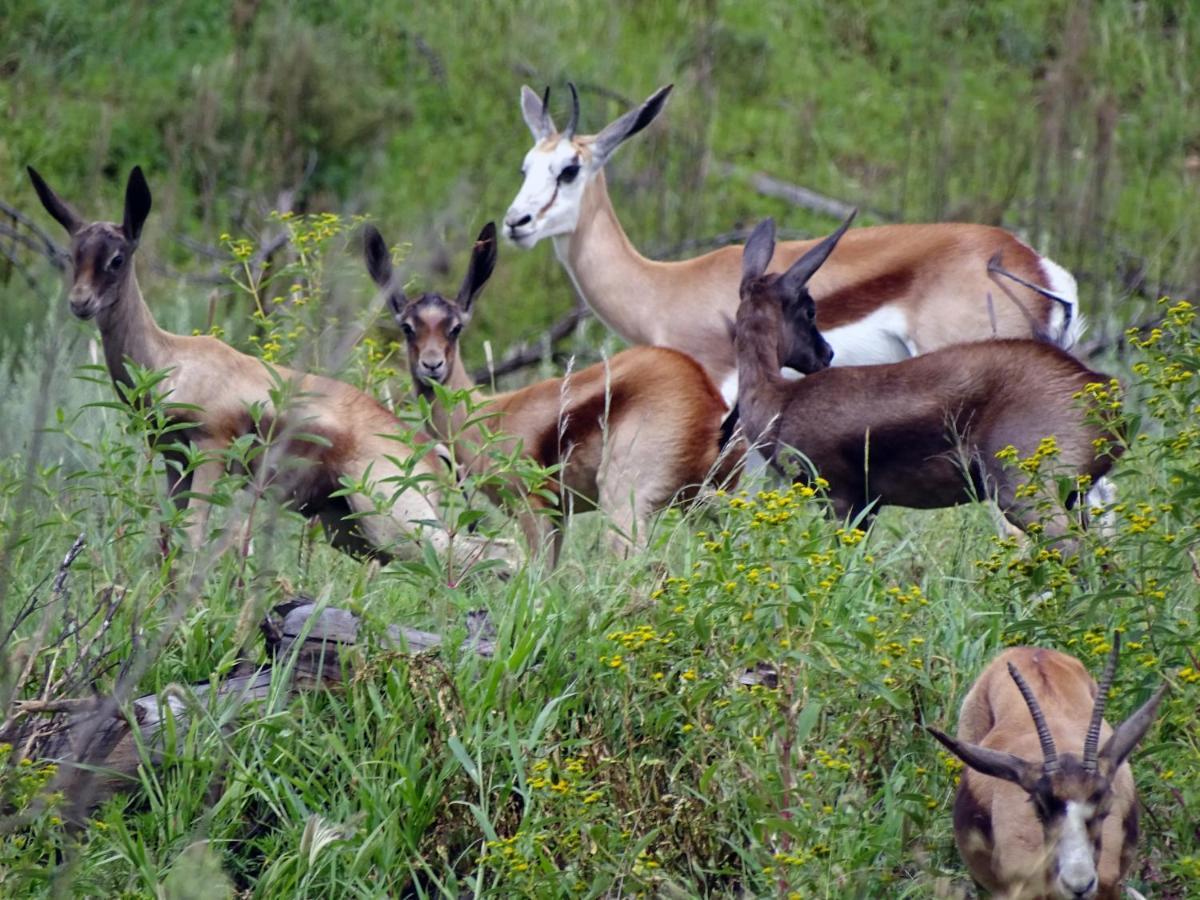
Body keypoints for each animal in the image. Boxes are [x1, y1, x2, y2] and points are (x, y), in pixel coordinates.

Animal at [30, 165, 511, 573]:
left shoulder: (210, 452)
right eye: (74, 254)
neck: (172, 360)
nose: (80, 303)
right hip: (353, 532)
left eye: (116, 258)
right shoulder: (173, 461)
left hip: (395, 524)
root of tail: (432, 452)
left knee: (500, 554)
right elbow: (166, 542)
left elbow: (193, 542)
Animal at [362, 222, 739, 566]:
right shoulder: (559, 515)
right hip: (702, 503)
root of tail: (706, 400)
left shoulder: (535, 508)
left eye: (454, 328)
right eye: (408, 327)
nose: (432, 365)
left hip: (625, 502)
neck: (485, 418)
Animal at [734, 218, 1118, 547]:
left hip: (1026, 494)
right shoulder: (867, 505)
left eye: (811, 307)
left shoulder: (841, 499)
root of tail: (1098, 389)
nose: (825, 353)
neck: (780, 400)